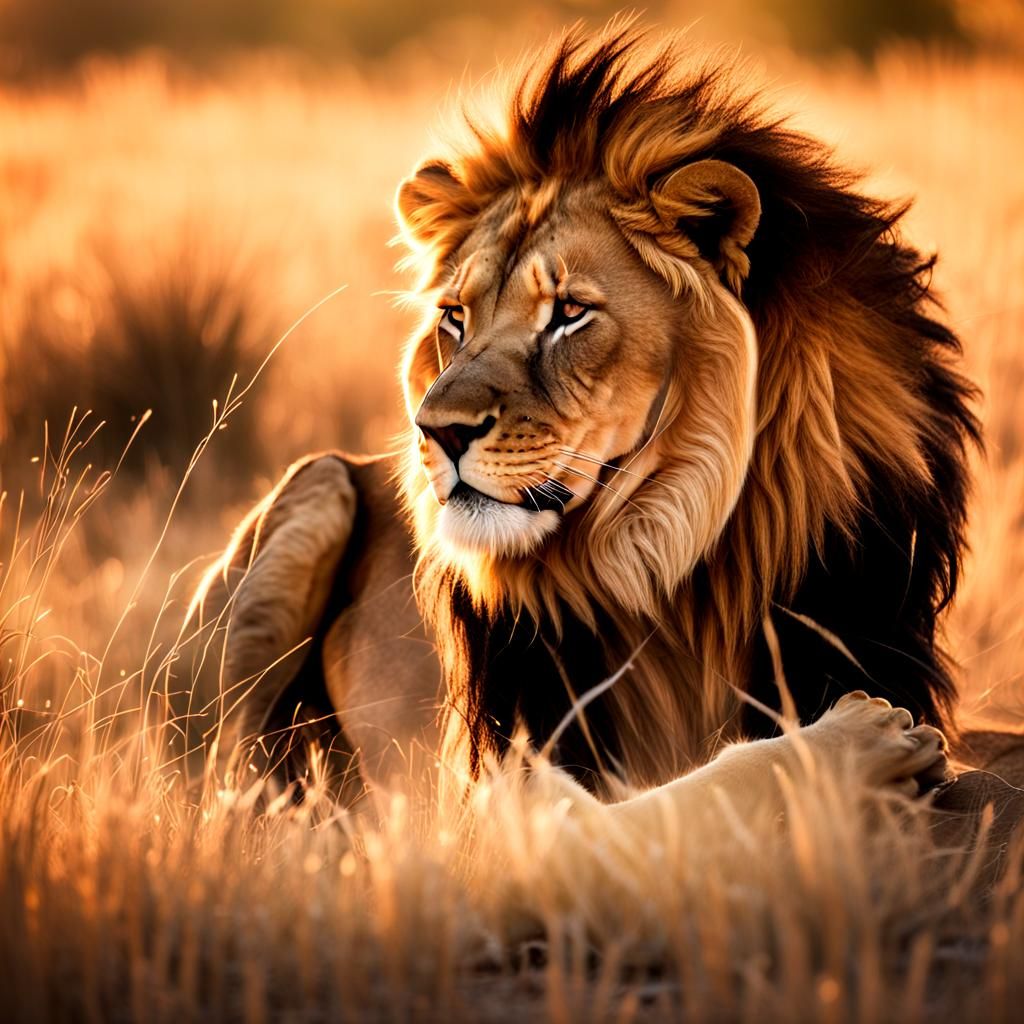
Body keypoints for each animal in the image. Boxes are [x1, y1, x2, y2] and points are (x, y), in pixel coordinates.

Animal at [192, 26, 983, 812]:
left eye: (570, 313)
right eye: (455, 317)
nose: (436, 430)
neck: (678, 564)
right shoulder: (510, 797)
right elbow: (690, 795)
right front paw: (861, 739)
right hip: (318, 484)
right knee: (221, 775)